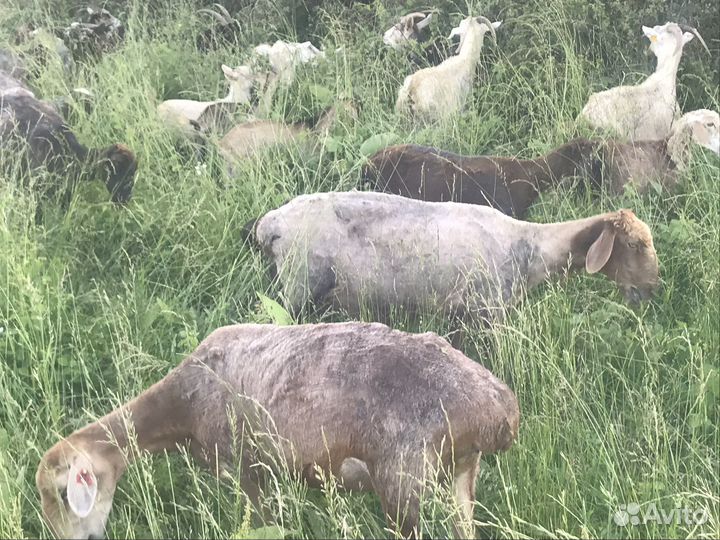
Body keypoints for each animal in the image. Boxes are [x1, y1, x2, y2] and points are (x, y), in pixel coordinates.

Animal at [36, 321, 520, 539]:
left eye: (64, 493)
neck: (182, 404)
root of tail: (497, 409)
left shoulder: (248, 471)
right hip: (460, 474)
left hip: (403, 481)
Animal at [251, 192, 659, 323]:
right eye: (636, 245)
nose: (652, 289)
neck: (530, 248)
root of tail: (271, 224)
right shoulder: (486, 312)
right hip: (298, 286)